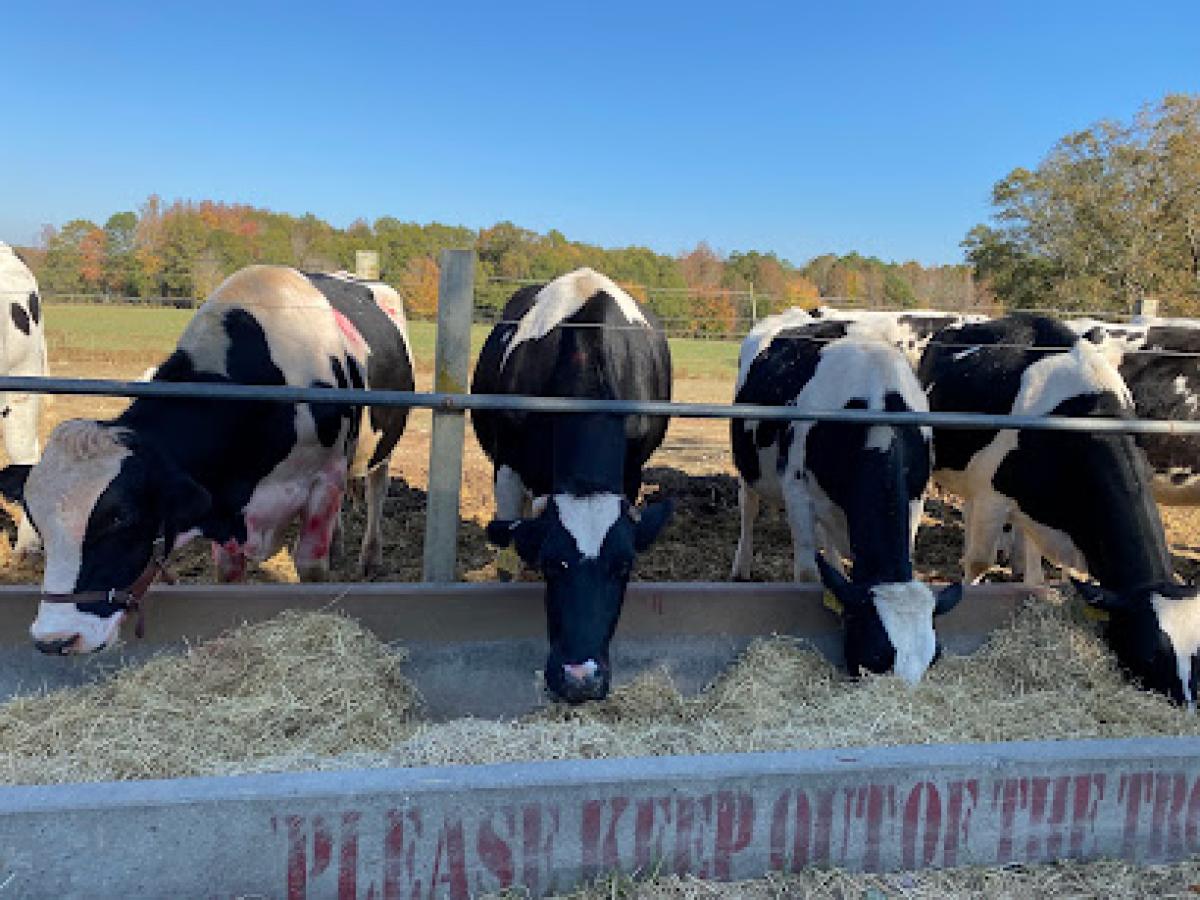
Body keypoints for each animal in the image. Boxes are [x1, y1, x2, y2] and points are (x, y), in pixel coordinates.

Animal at [0, 265, 414, 655]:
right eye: (36, 520)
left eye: (122, 518)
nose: (54, 639)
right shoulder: (224, 504)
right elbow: (229, 576)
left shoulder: (325, 478)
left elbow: (311, 567)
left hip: (383, 446)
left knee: (376, 488)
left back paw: (370, 555)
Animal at [470, 267, 673, 703]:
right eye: (552, 563)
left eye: (624, 565)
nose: (581, 679)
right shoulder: (507, 465)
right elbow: (508, 552)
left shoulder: (631, 473)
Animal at [731, 317, 963, 685]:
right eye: (877, 654)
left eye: (934, 656)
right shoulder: (797, 491)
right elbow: (808, 574)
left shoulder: (916, 498)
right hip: (749, 466)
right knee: (748, 510)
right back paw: (741, 567)